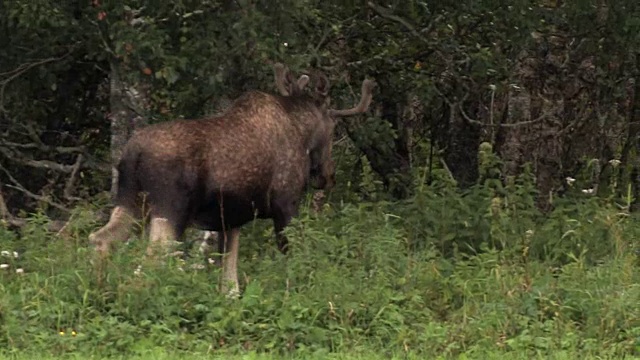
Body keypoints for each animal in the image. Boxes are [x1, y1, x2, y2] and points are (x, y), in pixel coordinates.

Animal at [91, 62, 376, 296]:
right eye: (333, 128)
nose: (327, 176)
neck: (302, 132)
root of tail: (132, 154)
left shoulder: (230, 218)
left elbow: (229, 276)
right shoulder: (285, 205)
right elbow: (290, 254)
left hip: (131, 202)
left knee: (101, 239)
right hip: (169, 209)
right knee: (151, 259)